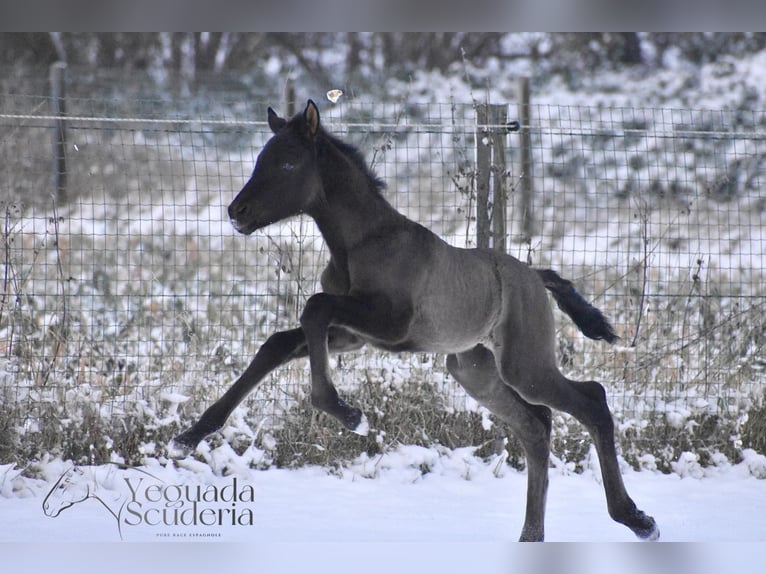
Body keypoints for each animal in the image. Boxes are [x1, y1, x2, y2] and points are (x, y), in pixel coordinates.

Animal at [174, 100, 659, 542]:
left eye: (288, 162)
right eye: (261, 160)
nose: (236, 212)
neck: (363, 243)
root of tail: (535, 276)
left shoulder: (389, 325)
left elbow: (314, 306)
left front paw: (349, 415)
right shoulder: (351, 335)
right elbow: (278, 342)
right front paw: (189, 437)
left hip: (524, 366)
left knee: (591, 401)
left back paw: (637, 519)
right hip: (475, 371)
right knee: (536, 428)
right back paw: (532, 537)